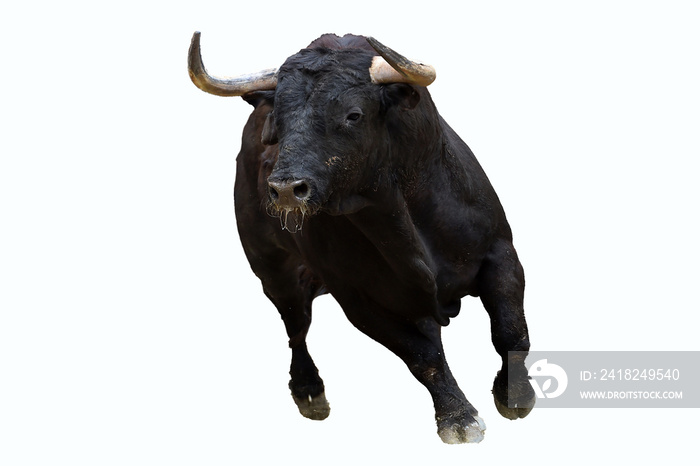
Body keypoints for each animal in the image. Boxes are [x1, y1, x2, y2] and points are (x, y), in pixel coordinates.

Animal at [189, 32, 532, 444]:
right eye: (278, 122)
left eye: (353, 115)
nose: (286, 190)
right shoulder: (358, 299)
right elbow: (423, 356)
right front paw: (458, 419)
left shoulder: (500, 254)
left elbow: (511, 331)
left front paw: (515, 395)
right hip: (273, 271)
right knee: (295, 327)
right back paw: (308, 392)